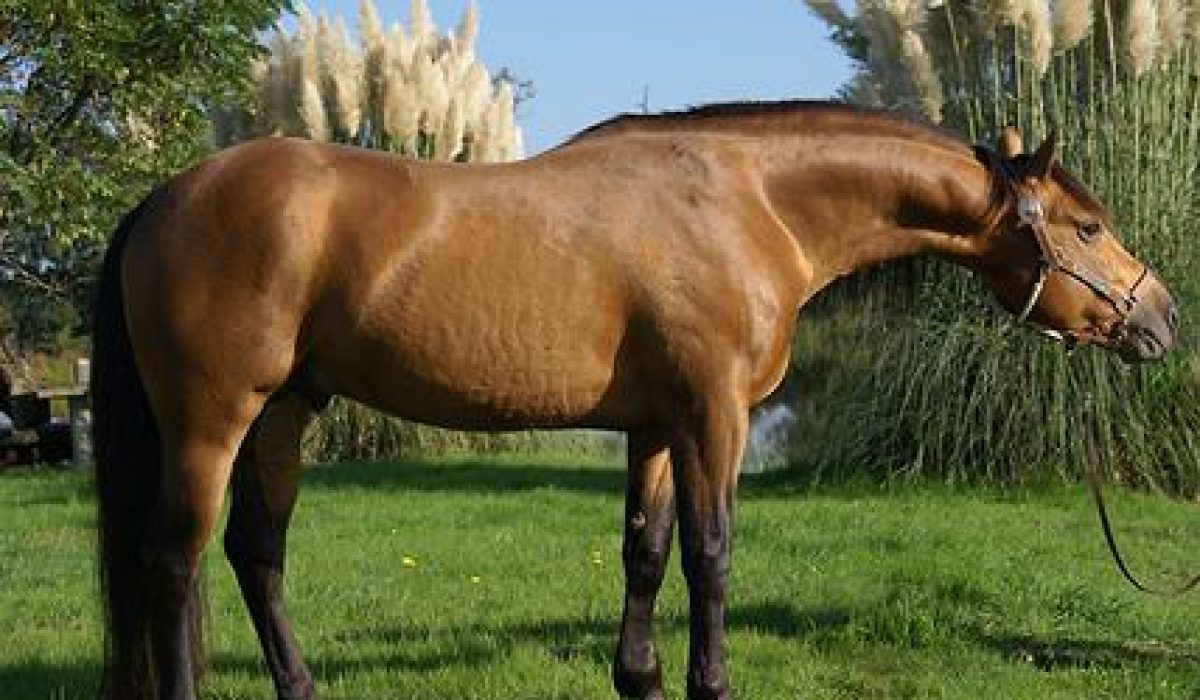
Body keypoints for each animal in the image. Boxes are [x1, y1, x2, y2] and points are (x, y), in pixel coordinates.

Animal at [92, 101, 1179, 700]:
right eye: (1087, 227)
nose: (1161, 318)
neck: (751, 205)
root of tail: (163, 198)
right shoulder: (714, 417)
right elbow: (711, 554)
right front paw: (710, 683)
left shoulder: (656, 425)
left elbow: (646, 552)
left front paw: (640, 679)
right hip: (213, 420)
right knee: (175, 562)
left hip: (286, 410)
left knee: (256, 552)